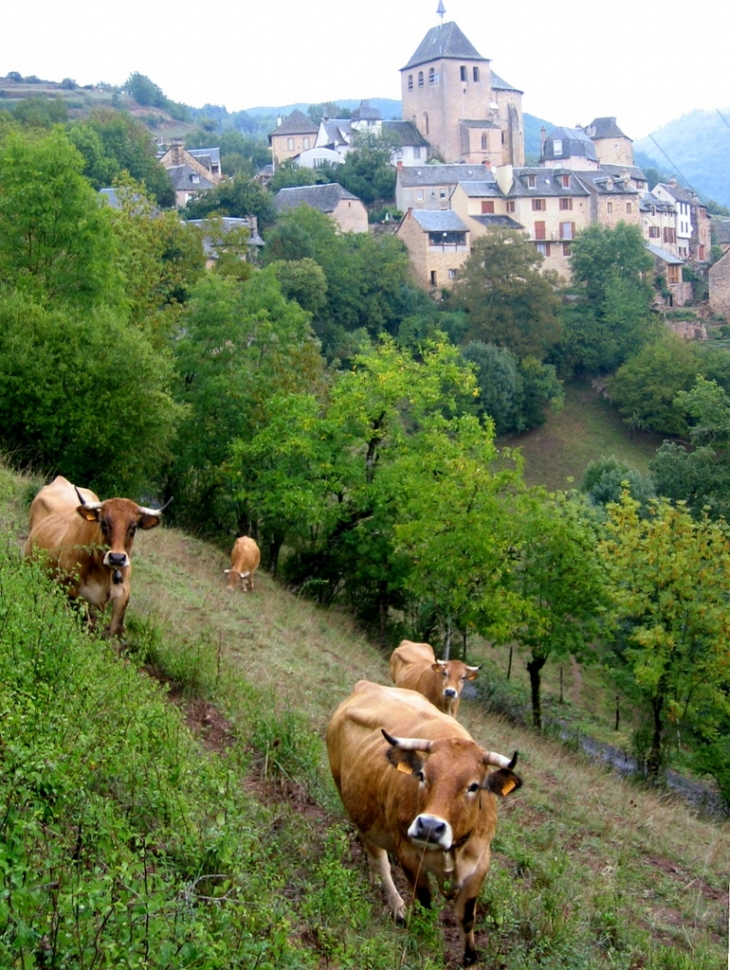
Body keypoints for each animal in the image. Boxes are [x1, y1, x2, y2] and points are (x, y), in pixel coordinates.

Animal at [23, 474, 166, 636]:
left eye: (134, 527)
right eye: (103, 524)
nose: (117, 558)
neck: (104, 572)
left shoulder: (123, 594)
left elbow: (115, 629)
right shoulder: (70, 590)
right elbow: (85, 624)